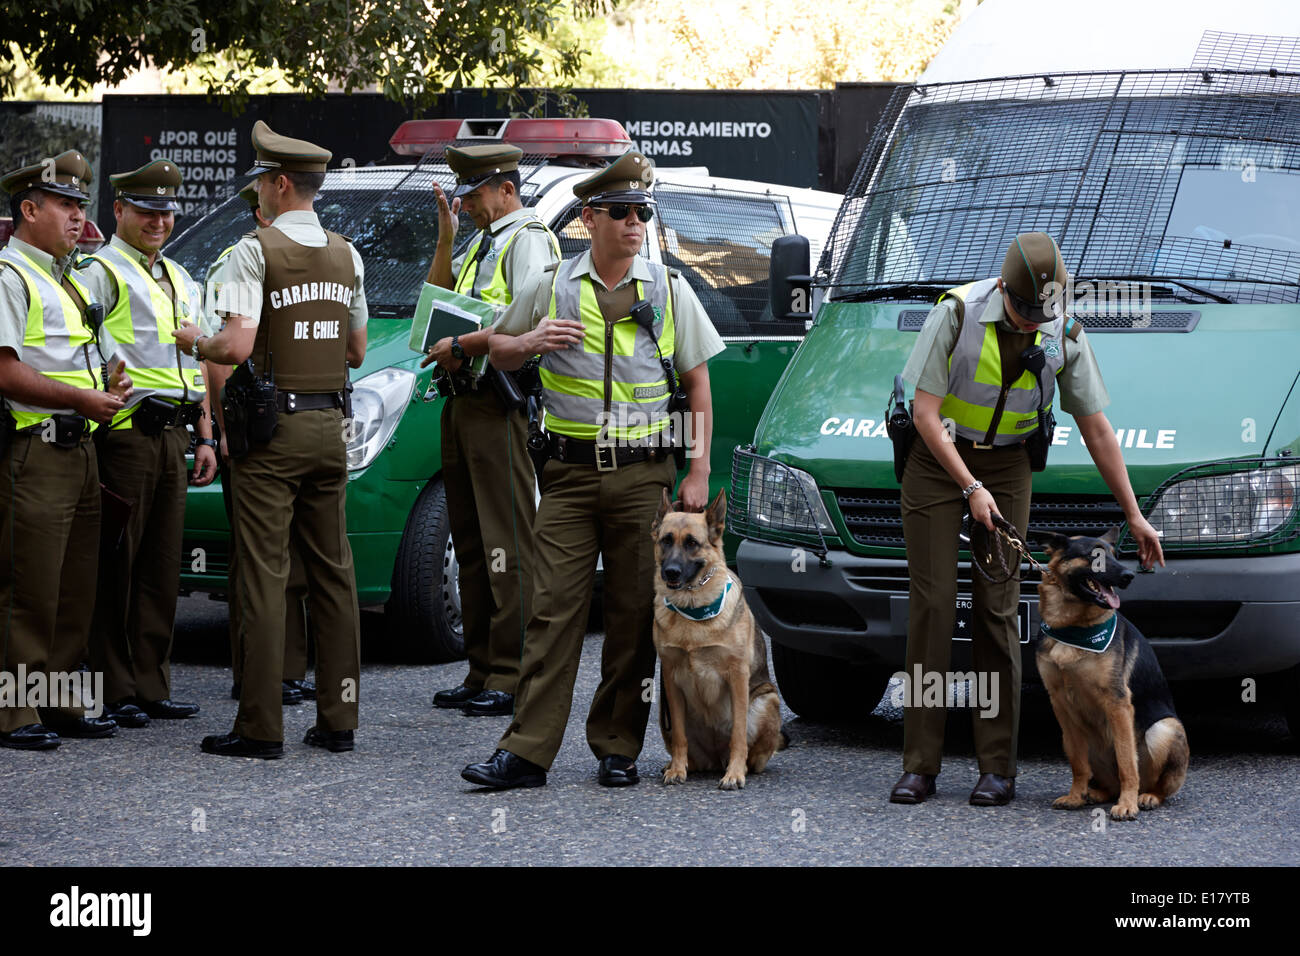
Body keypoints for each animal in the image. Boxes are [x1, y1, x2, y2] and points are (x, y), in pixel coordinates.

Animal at [650, 489, 780, 790]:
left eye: (692, 543)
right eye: (666, 540)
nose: (670, 572)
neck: (691, 608)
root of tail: (714, 757)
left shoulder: (737, 676)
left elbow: (738, 735)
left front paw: (734, 774)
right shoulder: (670, 677)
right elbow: (680, 736)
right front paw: (677, 769)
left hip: (767, 701)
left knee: (752, 753)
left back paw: (741, 767)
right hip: (664, 713)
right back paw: (676, 765)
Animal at [1034, 528, 1190, 816]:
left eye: (1114, 555)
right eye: (1094, 555)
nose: (1129, 576)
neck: (1071, 626)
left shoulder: (1117, 703)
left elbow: (1127, 760)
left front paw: (1127, 805)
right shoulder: (1060, 704)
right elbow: (1078, 763)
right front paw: (1075, 795)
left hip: (1164, 729)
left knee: (1157, 784)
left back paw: (1145, 796)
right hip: (1076, 738)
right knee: (1103, 780)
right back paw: (1094, 793)